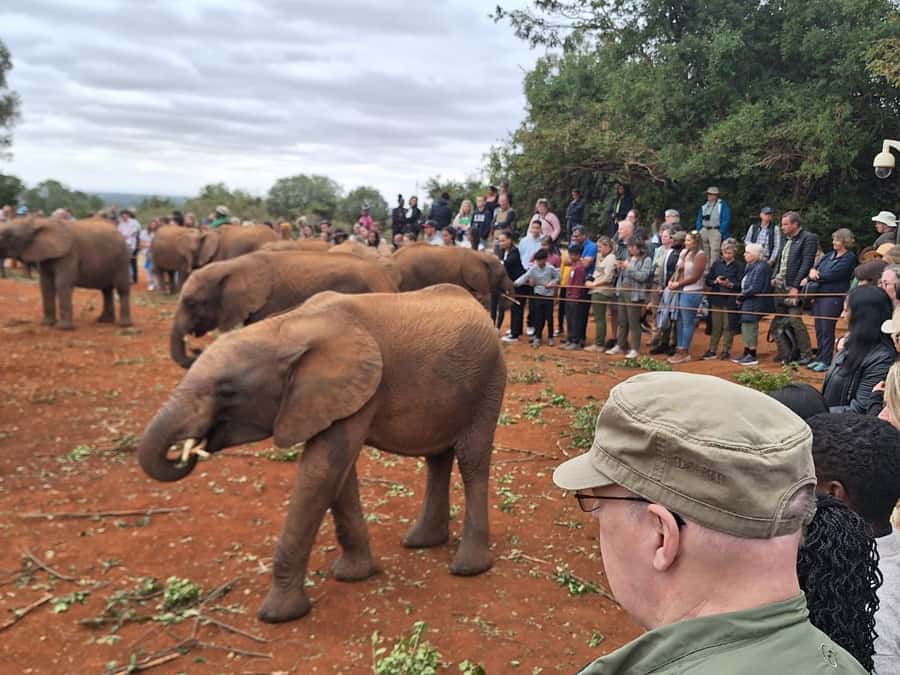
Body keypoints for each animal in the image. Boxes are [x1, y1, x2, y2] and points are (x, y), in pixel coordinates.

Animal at [0, 217, 131, 329]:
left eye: (8, 236)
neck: (38, 222)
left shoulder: (69, 254)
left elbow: (62, 283)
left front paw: (62, 328)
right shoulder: (45, 256)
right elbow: (46, 285)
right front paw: (46, 324)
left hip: (123, 259)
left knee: (121, 288)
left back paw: (123, 325)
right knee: (106, 290)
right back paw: (104, 321)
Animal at [138, 284, 506, 623]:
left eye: (227, 391)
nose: (186, 451)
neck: (287, 328)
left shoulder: (358, 388)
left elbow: (321, 471)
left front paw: (278, 615)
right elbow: (338, 475)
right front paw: (353, 575)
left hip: (489, 381)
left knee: (472, 459)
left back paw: (468, 567)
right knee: (437, 457)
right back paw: (422, 542)